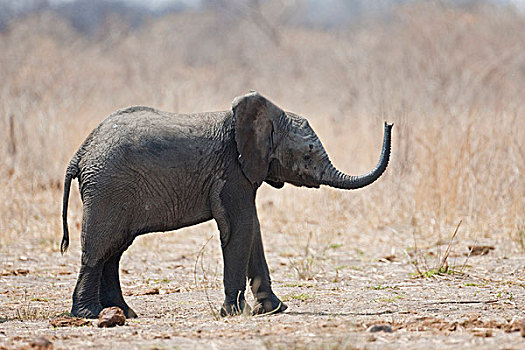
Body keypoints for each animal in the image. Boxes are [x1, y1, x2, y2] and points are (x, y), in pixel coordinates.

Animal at [61, 91, 390, 318]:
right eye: (307, 155)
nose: (389, 123)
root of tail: (81, 152)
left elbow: (253, 228)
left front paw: (273, 309)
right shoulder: (232, 171)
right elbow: (239, 228)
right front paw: (234, 313)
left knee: (114, 251)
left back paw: (124, 313)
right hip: (108, 188)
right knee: (100, 249)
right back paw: (89, 314)